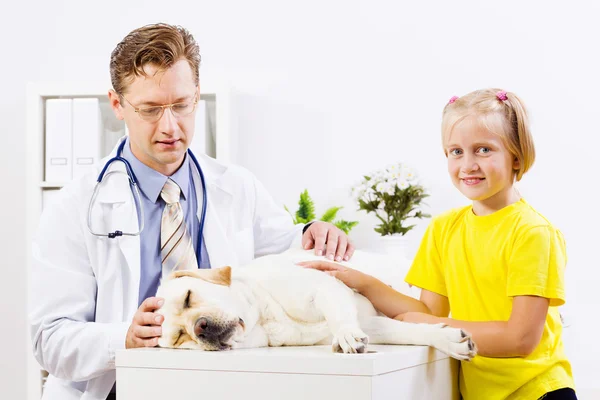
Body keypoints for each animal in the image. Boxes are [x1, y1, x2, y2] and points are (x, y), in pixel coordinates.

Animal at [156, 250, 478, 360]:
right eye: (180, 337)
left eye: (188, 297)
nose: (200, 328)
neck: (266, 318)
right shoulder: (372, 324)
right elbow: (406, 331)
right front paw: (448, 338)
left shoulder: (325, 286)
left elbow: (340, 318)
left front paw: (346, 335)